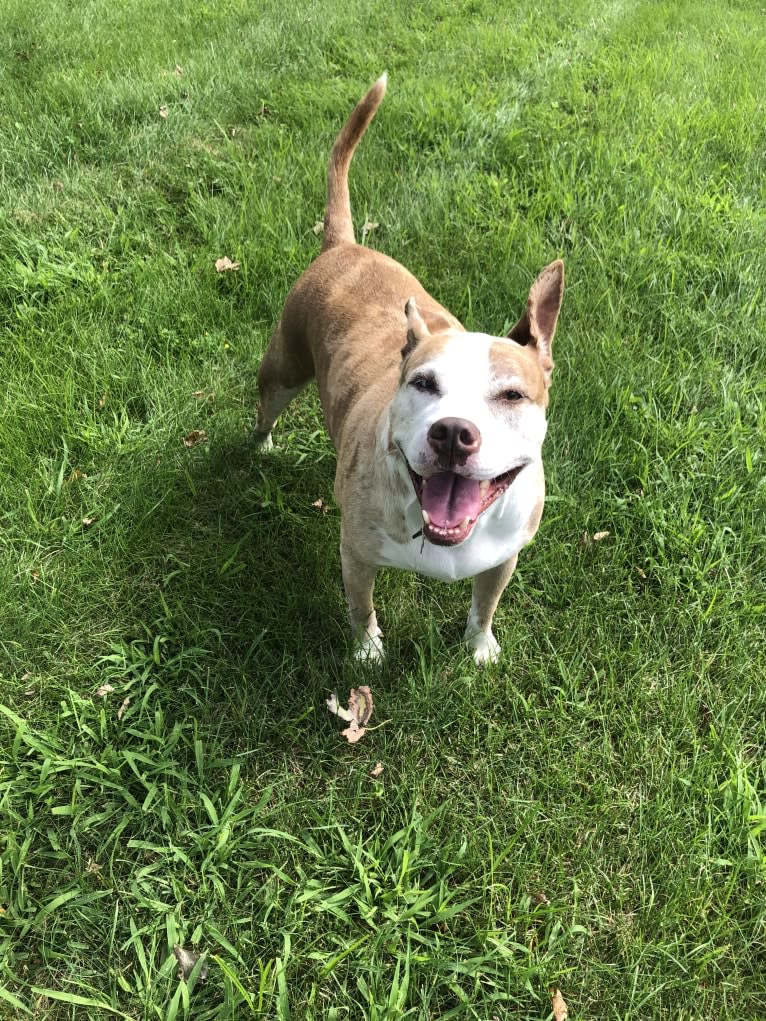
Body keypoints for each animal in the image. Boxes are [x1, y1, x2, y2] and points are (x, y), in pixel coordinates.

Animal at [258, 71, 563, 661]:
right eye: (424, 383)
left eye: (512, 395)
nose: (453, 433)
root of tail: (345, 246)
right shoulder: (355, 553)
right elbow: (361, 607)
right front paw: (368, 652)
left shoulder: (504, 558)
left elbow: (485, 604)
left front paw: (479, 648)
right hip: (283, 367)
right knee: (266, 406)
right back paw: (260, 446)